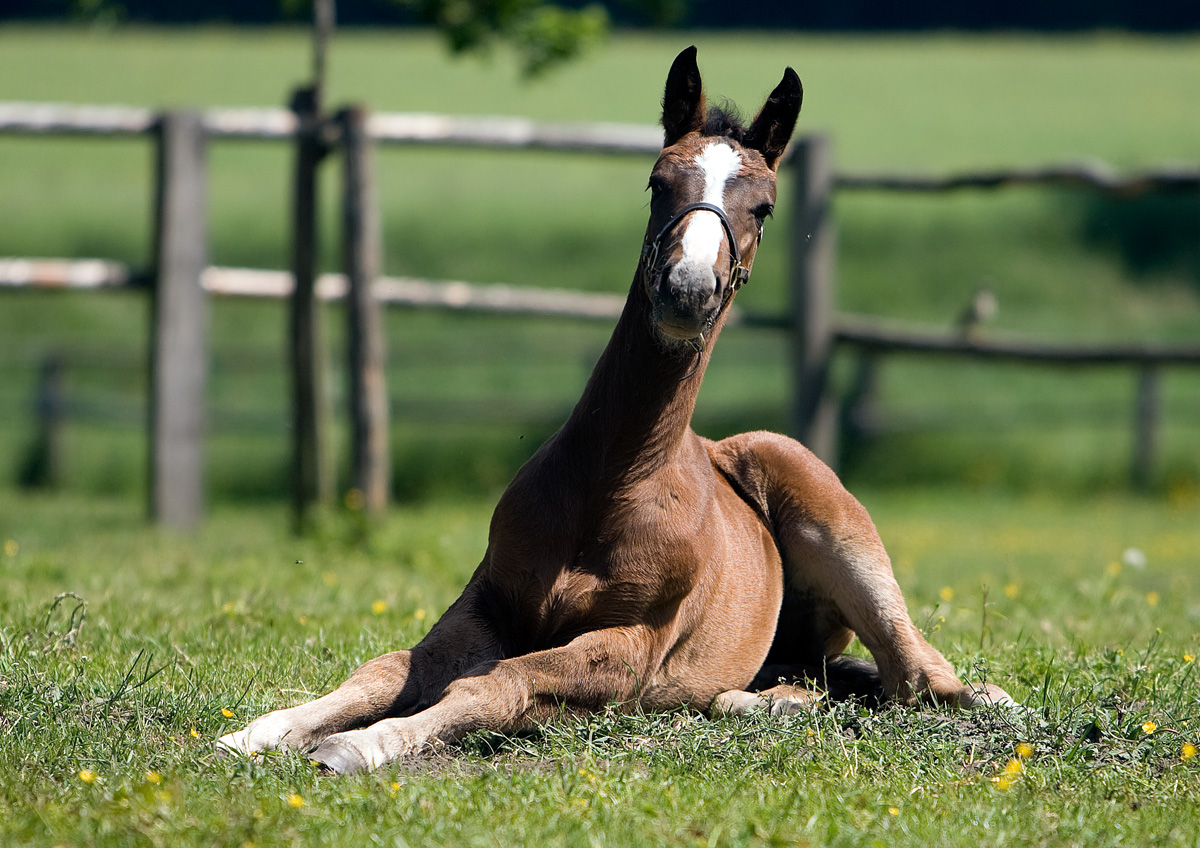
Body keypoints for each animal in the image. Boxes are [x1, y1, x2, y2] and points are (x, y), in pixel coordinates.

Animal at [218, 46, 1012, 777]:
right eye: (659, 182)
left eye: (764, 206)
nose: (688, 289)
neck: (610, 485)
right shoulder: (484, 605)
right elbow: (388, 667)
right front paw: (255, 733)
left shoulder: (630, 645)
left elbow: (494, 686)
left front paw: (357, 745)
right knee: (822, 680)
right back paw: (757, 700)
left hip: (820, 502)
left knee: (913, 679)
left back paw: (975, 698)